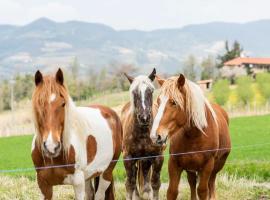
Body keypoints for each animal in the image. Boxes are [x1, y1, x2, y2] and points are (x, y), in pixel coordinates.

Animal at [30, 69, 122, 200]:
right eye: (39, 103)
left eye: (63, 103)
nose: (51, 147)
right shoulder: (43, 185)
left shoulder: (78, 183)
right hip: (89, 175)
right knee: (91, 193)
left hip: (107, 172)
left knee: (99, 194)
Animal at [121, 68, 163, 198]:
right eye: (134, 92)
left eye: (151, 91)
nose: (144, 118)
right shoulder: (128, 158)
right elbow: (130, 185)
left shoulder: (157, 157)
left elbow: (155, 184)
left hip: (145, 160)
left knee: (146, 184)